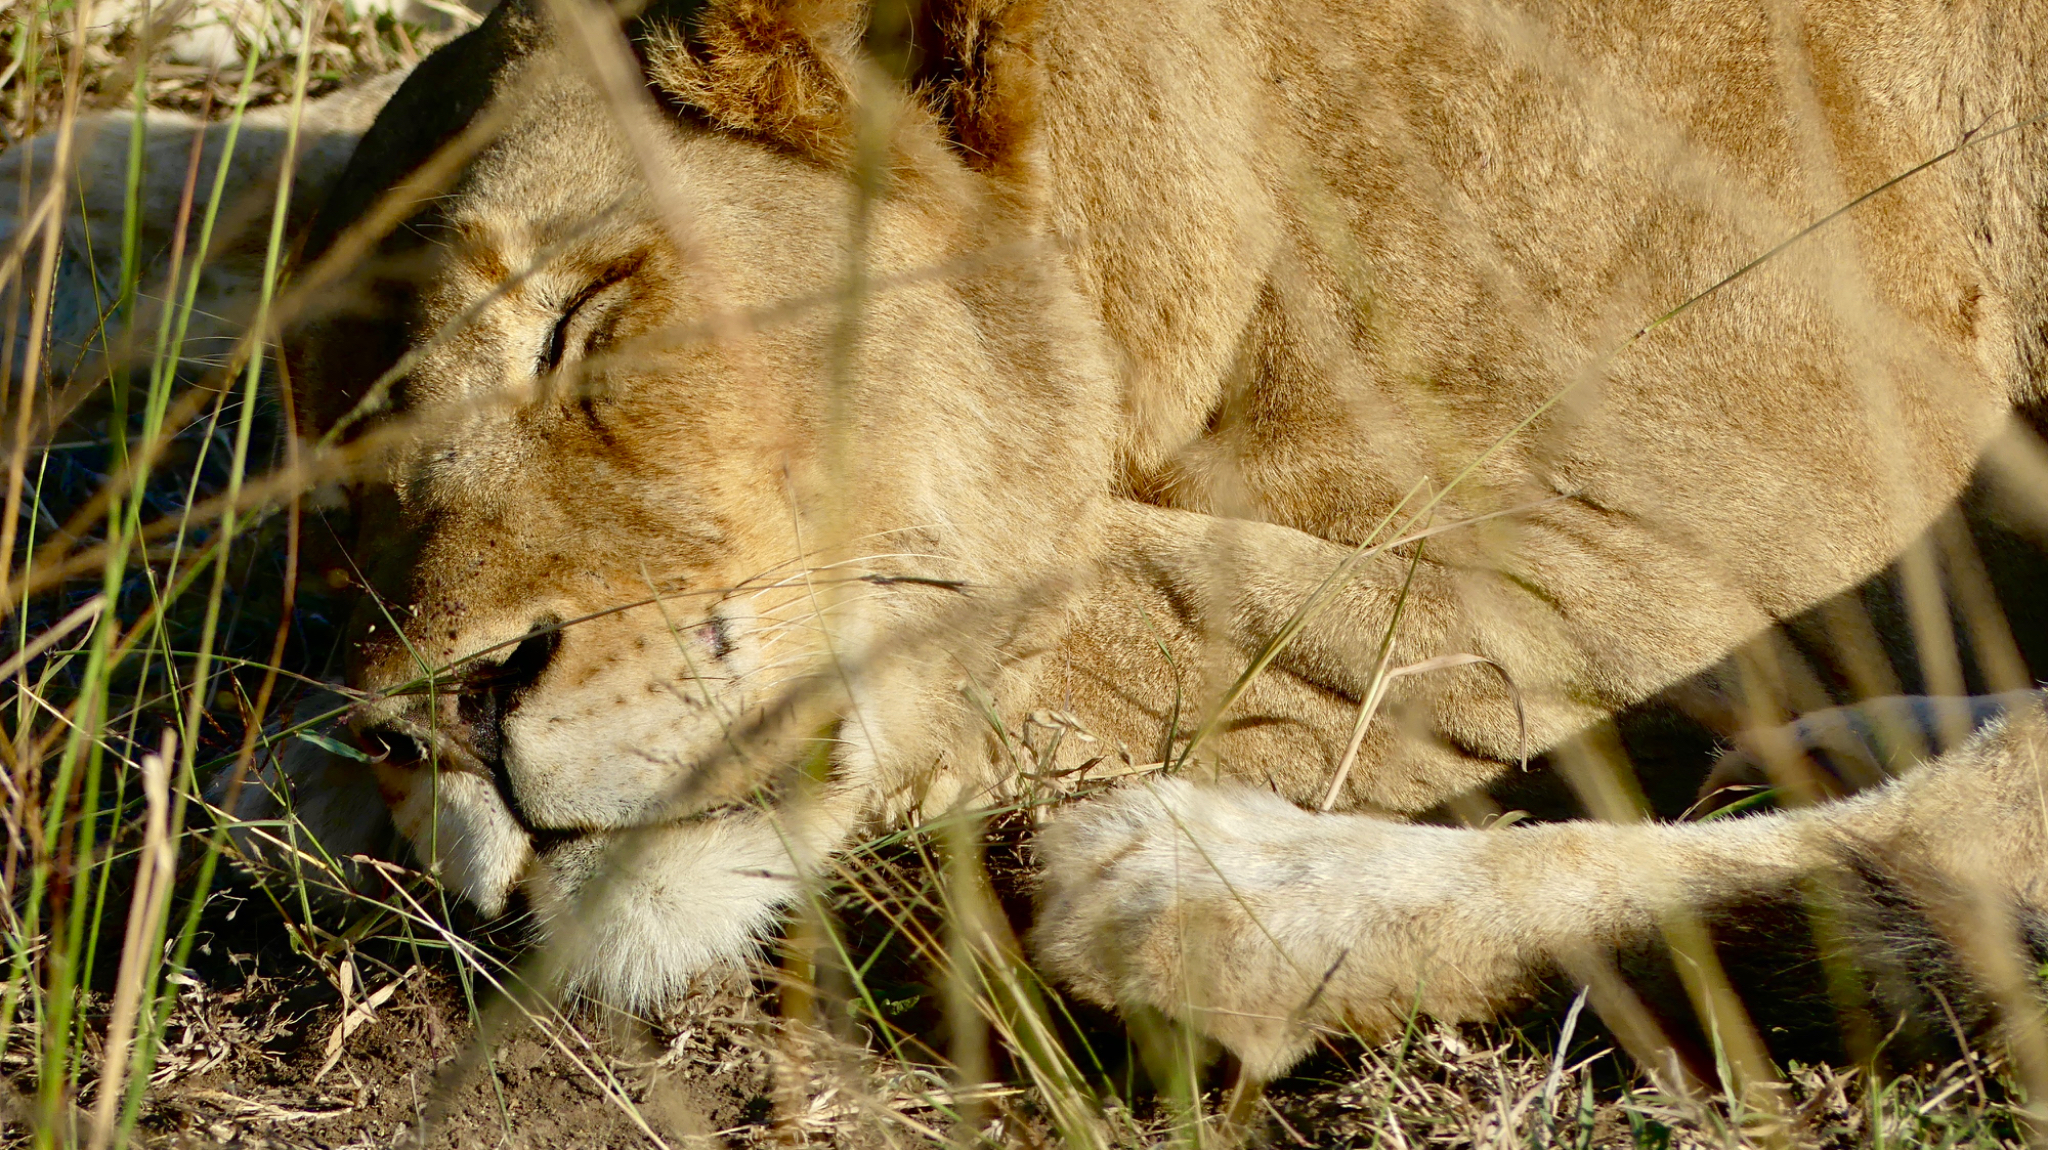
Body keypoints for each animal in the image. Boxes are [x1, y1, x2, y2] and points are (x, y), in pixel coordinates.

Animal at [16, 0, 2048, 1084]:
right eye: (323, 477)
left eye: (583, 324)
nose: (432, 728)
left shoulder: (1713, 549)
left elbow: (1082, 605)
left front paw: (264, 775)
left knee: (1951, 863)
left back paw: (1191, 894)